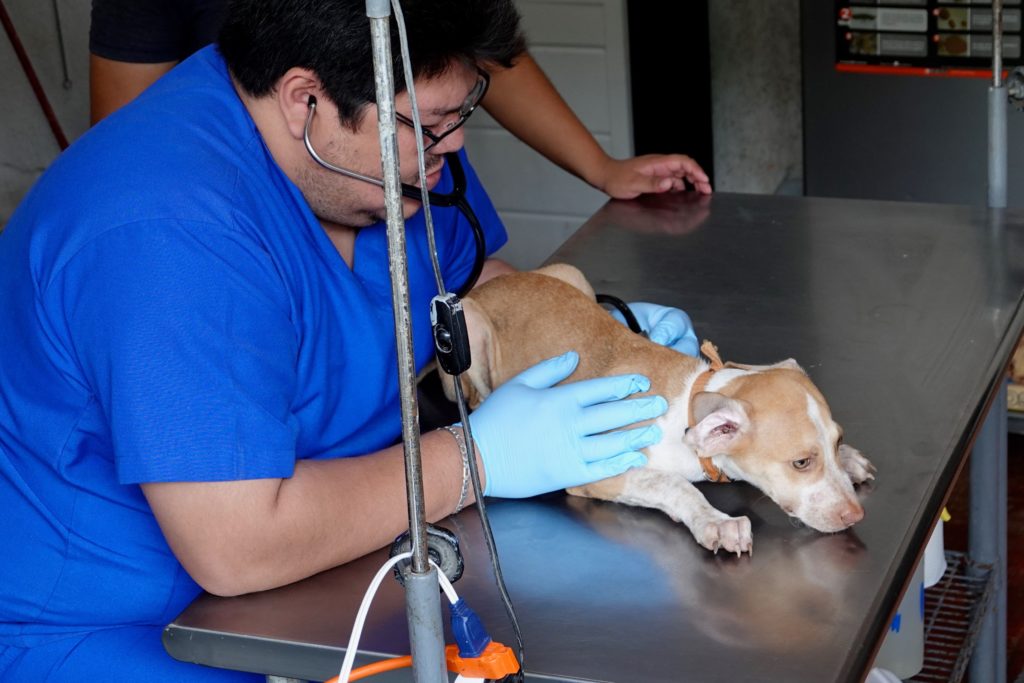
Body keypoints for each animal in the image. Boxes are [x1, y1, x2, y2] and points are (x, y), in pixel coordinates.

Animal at [444, 264, 876, 557]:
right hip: (470, 331)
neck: (691, 400)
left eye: (836, 441)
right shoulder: (600, 473)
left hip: (573, 276)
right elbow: (674, 484)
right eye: (801, 463)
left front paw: (850, 459)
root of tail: (487, 285)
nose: (856, 517)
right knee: (475, 396)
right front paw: (716, 522)